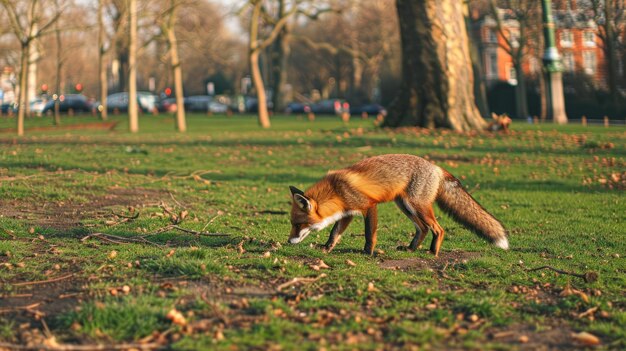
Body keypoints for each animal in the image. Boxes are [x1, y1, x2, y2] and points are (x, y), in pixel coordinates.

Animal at [288, 155, 508, 258]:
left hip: (417, 205)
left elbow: (369, 234)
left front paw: (368, 253)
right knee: (423, 229)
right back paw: (411, 248)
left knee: (438, 229)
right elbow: (334, 233)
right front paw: (326, 248)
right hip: (405, 205)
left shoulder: (369, 206)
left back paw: (432, 252)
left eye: (297, 225)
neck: (336, 189)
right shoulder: (347, 213)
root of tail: (436, 167)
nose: (289, 241)